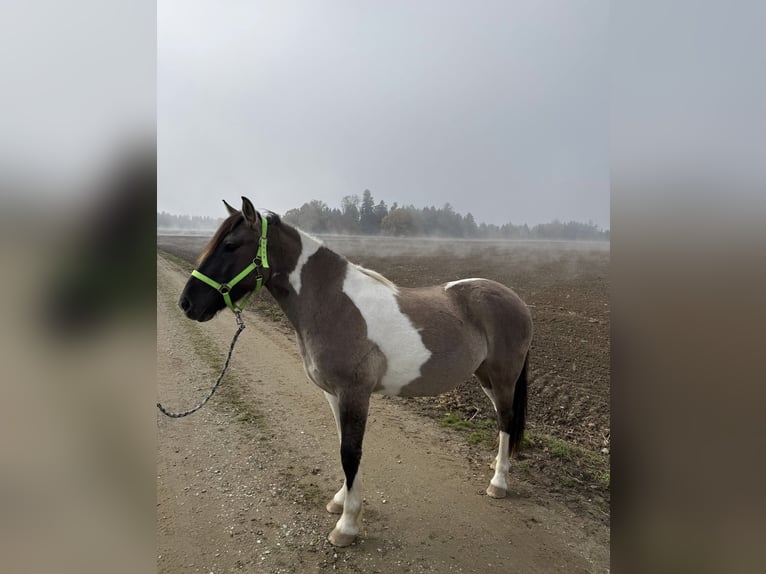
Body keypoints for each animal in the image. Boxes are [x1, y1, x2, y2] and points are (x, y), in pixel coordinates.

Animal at [178, 197, 533, 547]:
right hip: (486, 378)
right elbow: (344, 448)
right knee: (503, 418)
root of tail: (515, 300)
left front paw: (346, 526)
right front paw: (340, 501)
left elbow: (350, 453)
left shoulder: (354, 394)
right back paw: (496, 464)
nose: (187, 304)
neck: (333, 304)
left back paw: (498, 482)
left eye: (231, 245)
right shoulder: (334, 395)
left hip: (503, 377)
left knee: (506, 419)